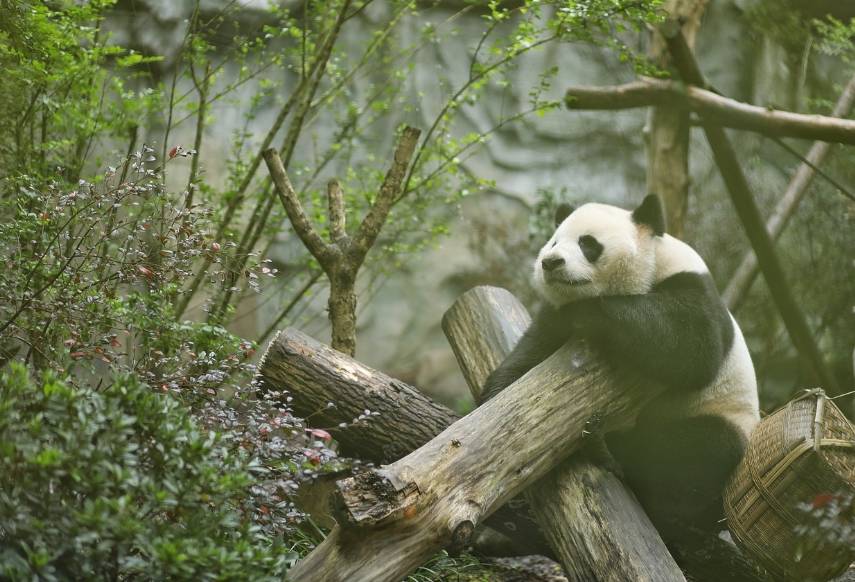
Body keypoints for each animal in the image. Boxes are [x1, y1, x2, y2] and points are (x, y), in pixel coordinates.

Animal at [484, 194, 760, 540]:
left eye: (588, 243)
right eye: (554, 241)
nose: (551, 262)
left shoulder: (692, 286)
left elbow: (693, 345)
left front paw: (590, 313)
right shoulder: (553, 318)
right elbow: (533, 352)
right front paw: (493, 399)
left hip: (721, 414)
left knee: (694, 450)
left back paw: (607, 449)